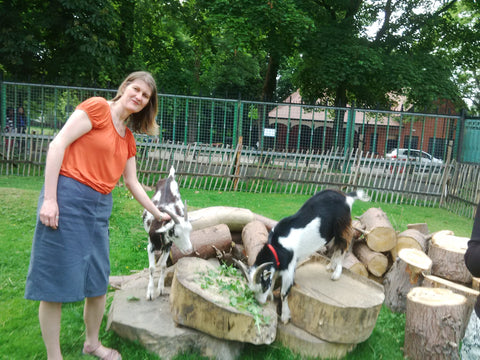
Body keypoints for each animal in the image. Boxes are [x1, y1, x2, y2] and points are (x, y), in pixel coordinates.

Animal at [142, 167, 193, 300]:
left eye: (190, 231)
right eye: (176, 234)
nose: (189, 250)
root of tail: (170, 177)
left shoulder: (168, 245)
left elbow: (164, 265)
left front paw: (160, 289)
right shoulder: (150, 246)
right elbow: (151, 267)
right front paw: (150, 293)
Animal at [238, 188, 370, 324]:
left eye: (263, 287)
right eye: (253, 289)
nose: (261, 302)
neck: (277, 247)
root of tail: (346, 197)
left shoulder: (289, 268)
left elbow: (284, 293)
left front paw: (285, 317)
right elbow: (274, 277)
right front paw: (271, 296)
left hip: (342, 226)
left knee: (343, 246)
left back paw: (336, 273)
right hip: (332, 231)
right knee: (336, 248)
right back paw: (330, 266)